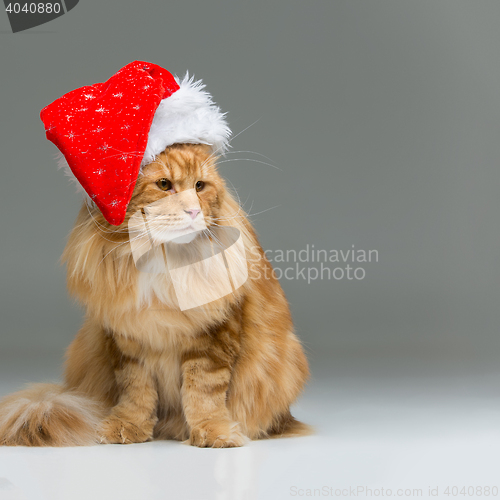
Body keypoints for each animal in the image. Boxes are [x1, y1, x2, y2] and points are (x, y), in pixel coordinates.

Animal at [0, 143, 308, 448]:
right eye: (164, 185)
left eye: (199, 186)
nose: (193, 211)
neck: (163, 261)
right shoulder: (127, 340)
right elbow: (136, 391)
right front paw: (128, 426)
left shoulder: (214, 339)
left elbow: (204, 393)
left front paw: (213, 432)